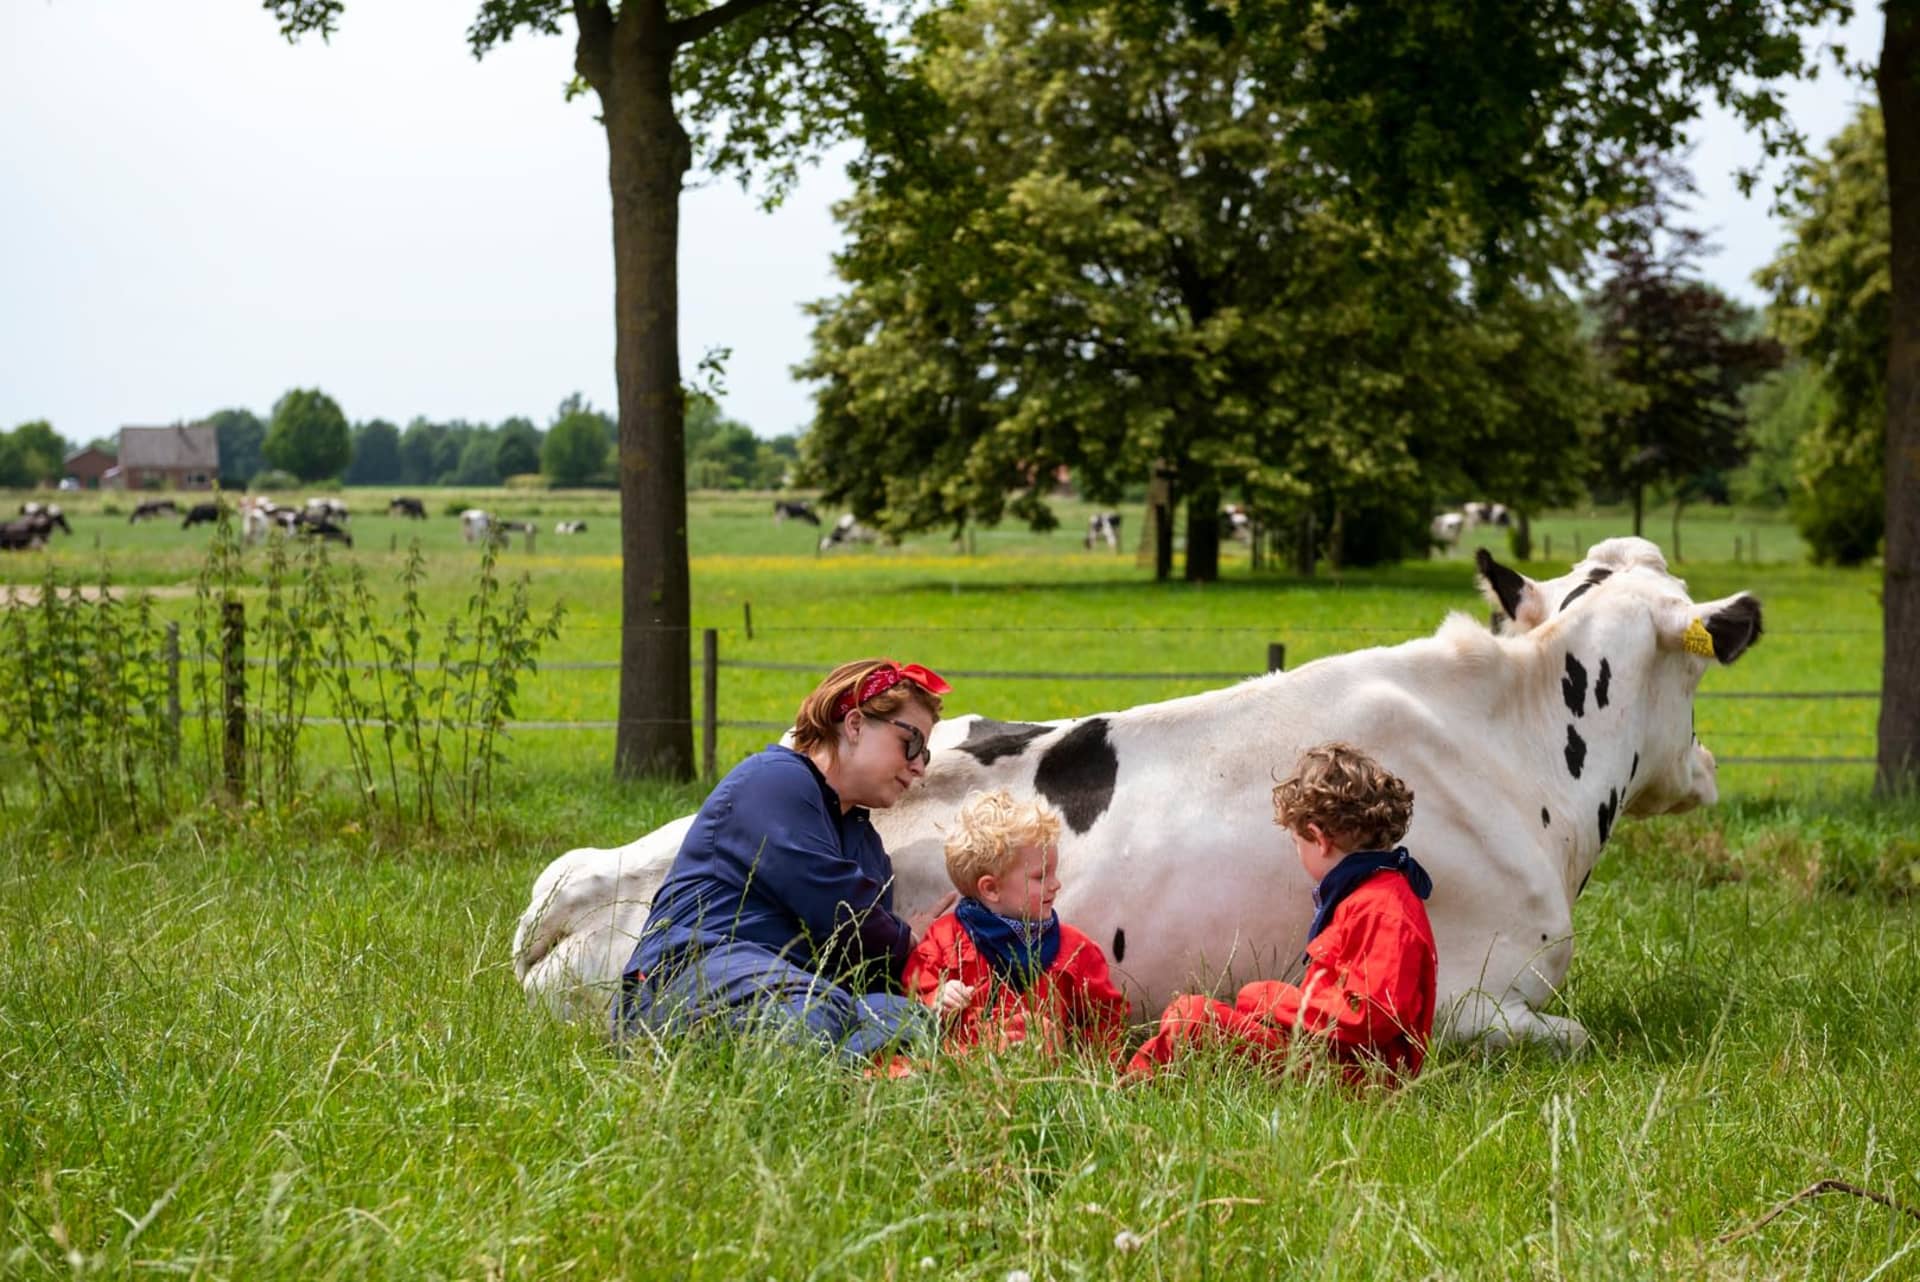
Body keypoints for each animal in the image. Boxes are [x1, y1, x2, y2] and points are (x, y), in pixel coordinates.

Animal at [511, 537, 1759, 1052]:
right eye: (1703, 666)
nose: (1705, 767)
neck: (1514, 749)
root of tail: (585, 883)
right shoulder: (1468, 998)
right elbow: (1575, 1034)